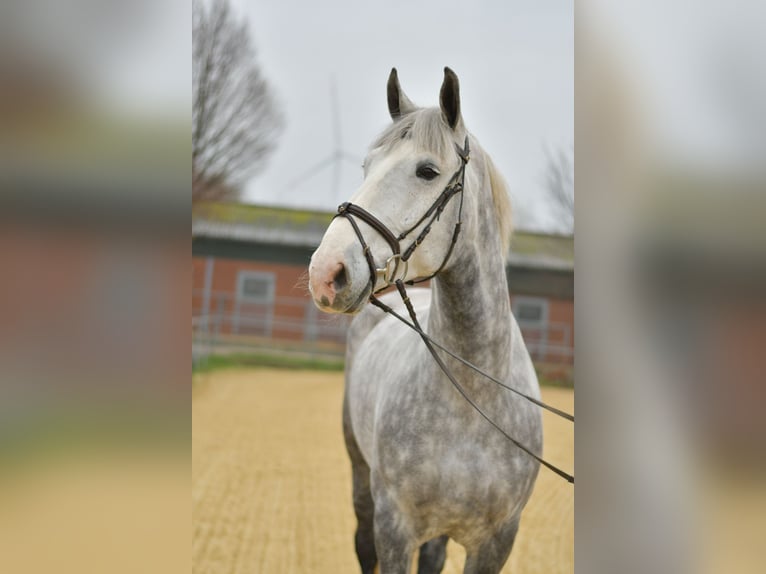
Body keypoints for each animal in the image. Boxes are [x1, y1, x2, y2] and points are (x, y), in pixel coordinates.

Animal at [308, 67, 543, 574]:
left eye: (427, 171)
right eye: (366, 166)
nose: (325, 273)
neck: (473, 401)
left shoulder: (496, 542)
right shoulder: (395, 529)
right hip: (361, 477)